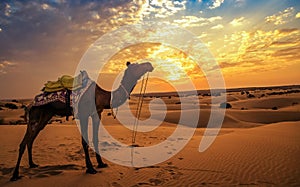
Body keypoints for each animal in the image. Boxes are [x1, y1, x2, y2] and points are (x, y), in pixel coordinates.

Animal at [10, 61, 154, 181]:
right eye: (137, 65)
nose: (150, 64)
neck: (101, 96)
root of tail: (32, 102)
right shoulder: (84, 114)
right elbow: (85, 142)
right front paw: (90, 168)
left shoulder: (97, 113)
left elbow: (95, 138)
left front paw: (101, 164)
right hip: (35, 114)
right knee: (24, 142)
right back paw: (15, 175)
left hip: (45, 116)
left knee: (31, 139)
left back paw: (32, 164)